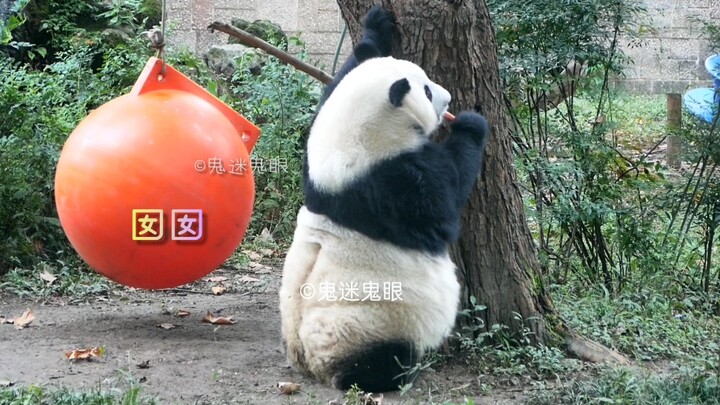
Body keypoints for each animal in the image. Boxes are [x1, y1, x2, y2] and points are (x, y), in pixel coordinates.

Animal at [279, 6, 489, 392]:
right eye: (426, 89)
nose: (449, 98)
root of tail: (309, 365)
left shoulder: (313, 155)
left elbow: (338, 80)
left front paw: (375, 28)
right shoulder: (389, 184)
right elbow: (443, 203)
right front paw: (471, 124)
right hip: (368, 325)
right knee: (382, 358)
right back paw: (392, 374)